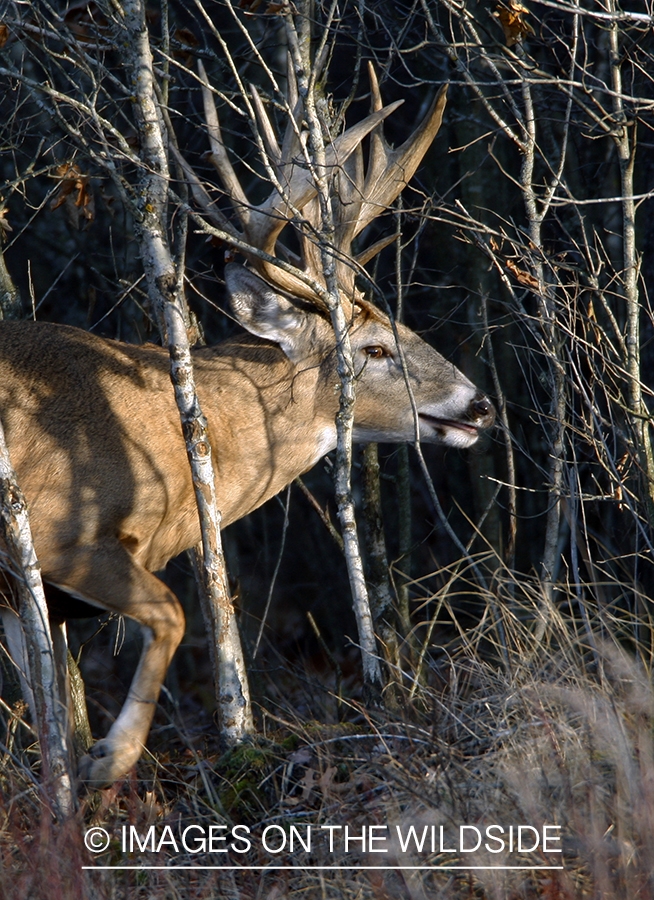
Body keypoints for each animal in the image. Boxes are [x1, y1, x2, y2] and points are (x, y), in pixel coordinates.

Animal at [0, 61, 494, 788]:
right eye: (375, 348)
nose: (477, 403)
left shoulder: (19, 596)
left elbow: (49, 734)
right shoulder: (56, 531)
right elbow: (173, 614)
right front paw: (111, 757)